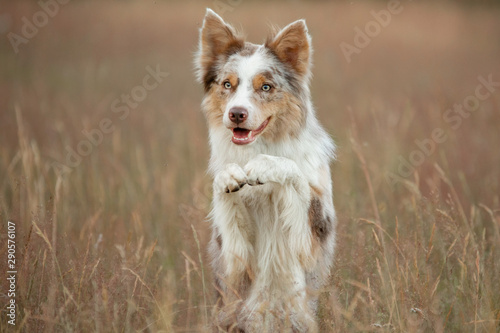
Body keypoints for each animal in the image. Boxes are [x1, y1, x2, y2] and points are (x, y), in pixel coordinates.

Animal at [195, 9, 336, 330]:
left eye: (266, 87)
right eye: (227, 85)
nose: (236, 113)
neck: (260, 145)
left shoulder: (309, 239)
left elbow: (292, 171)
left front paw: (265, 165)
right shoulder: (233, 258)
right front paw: (229, 176)